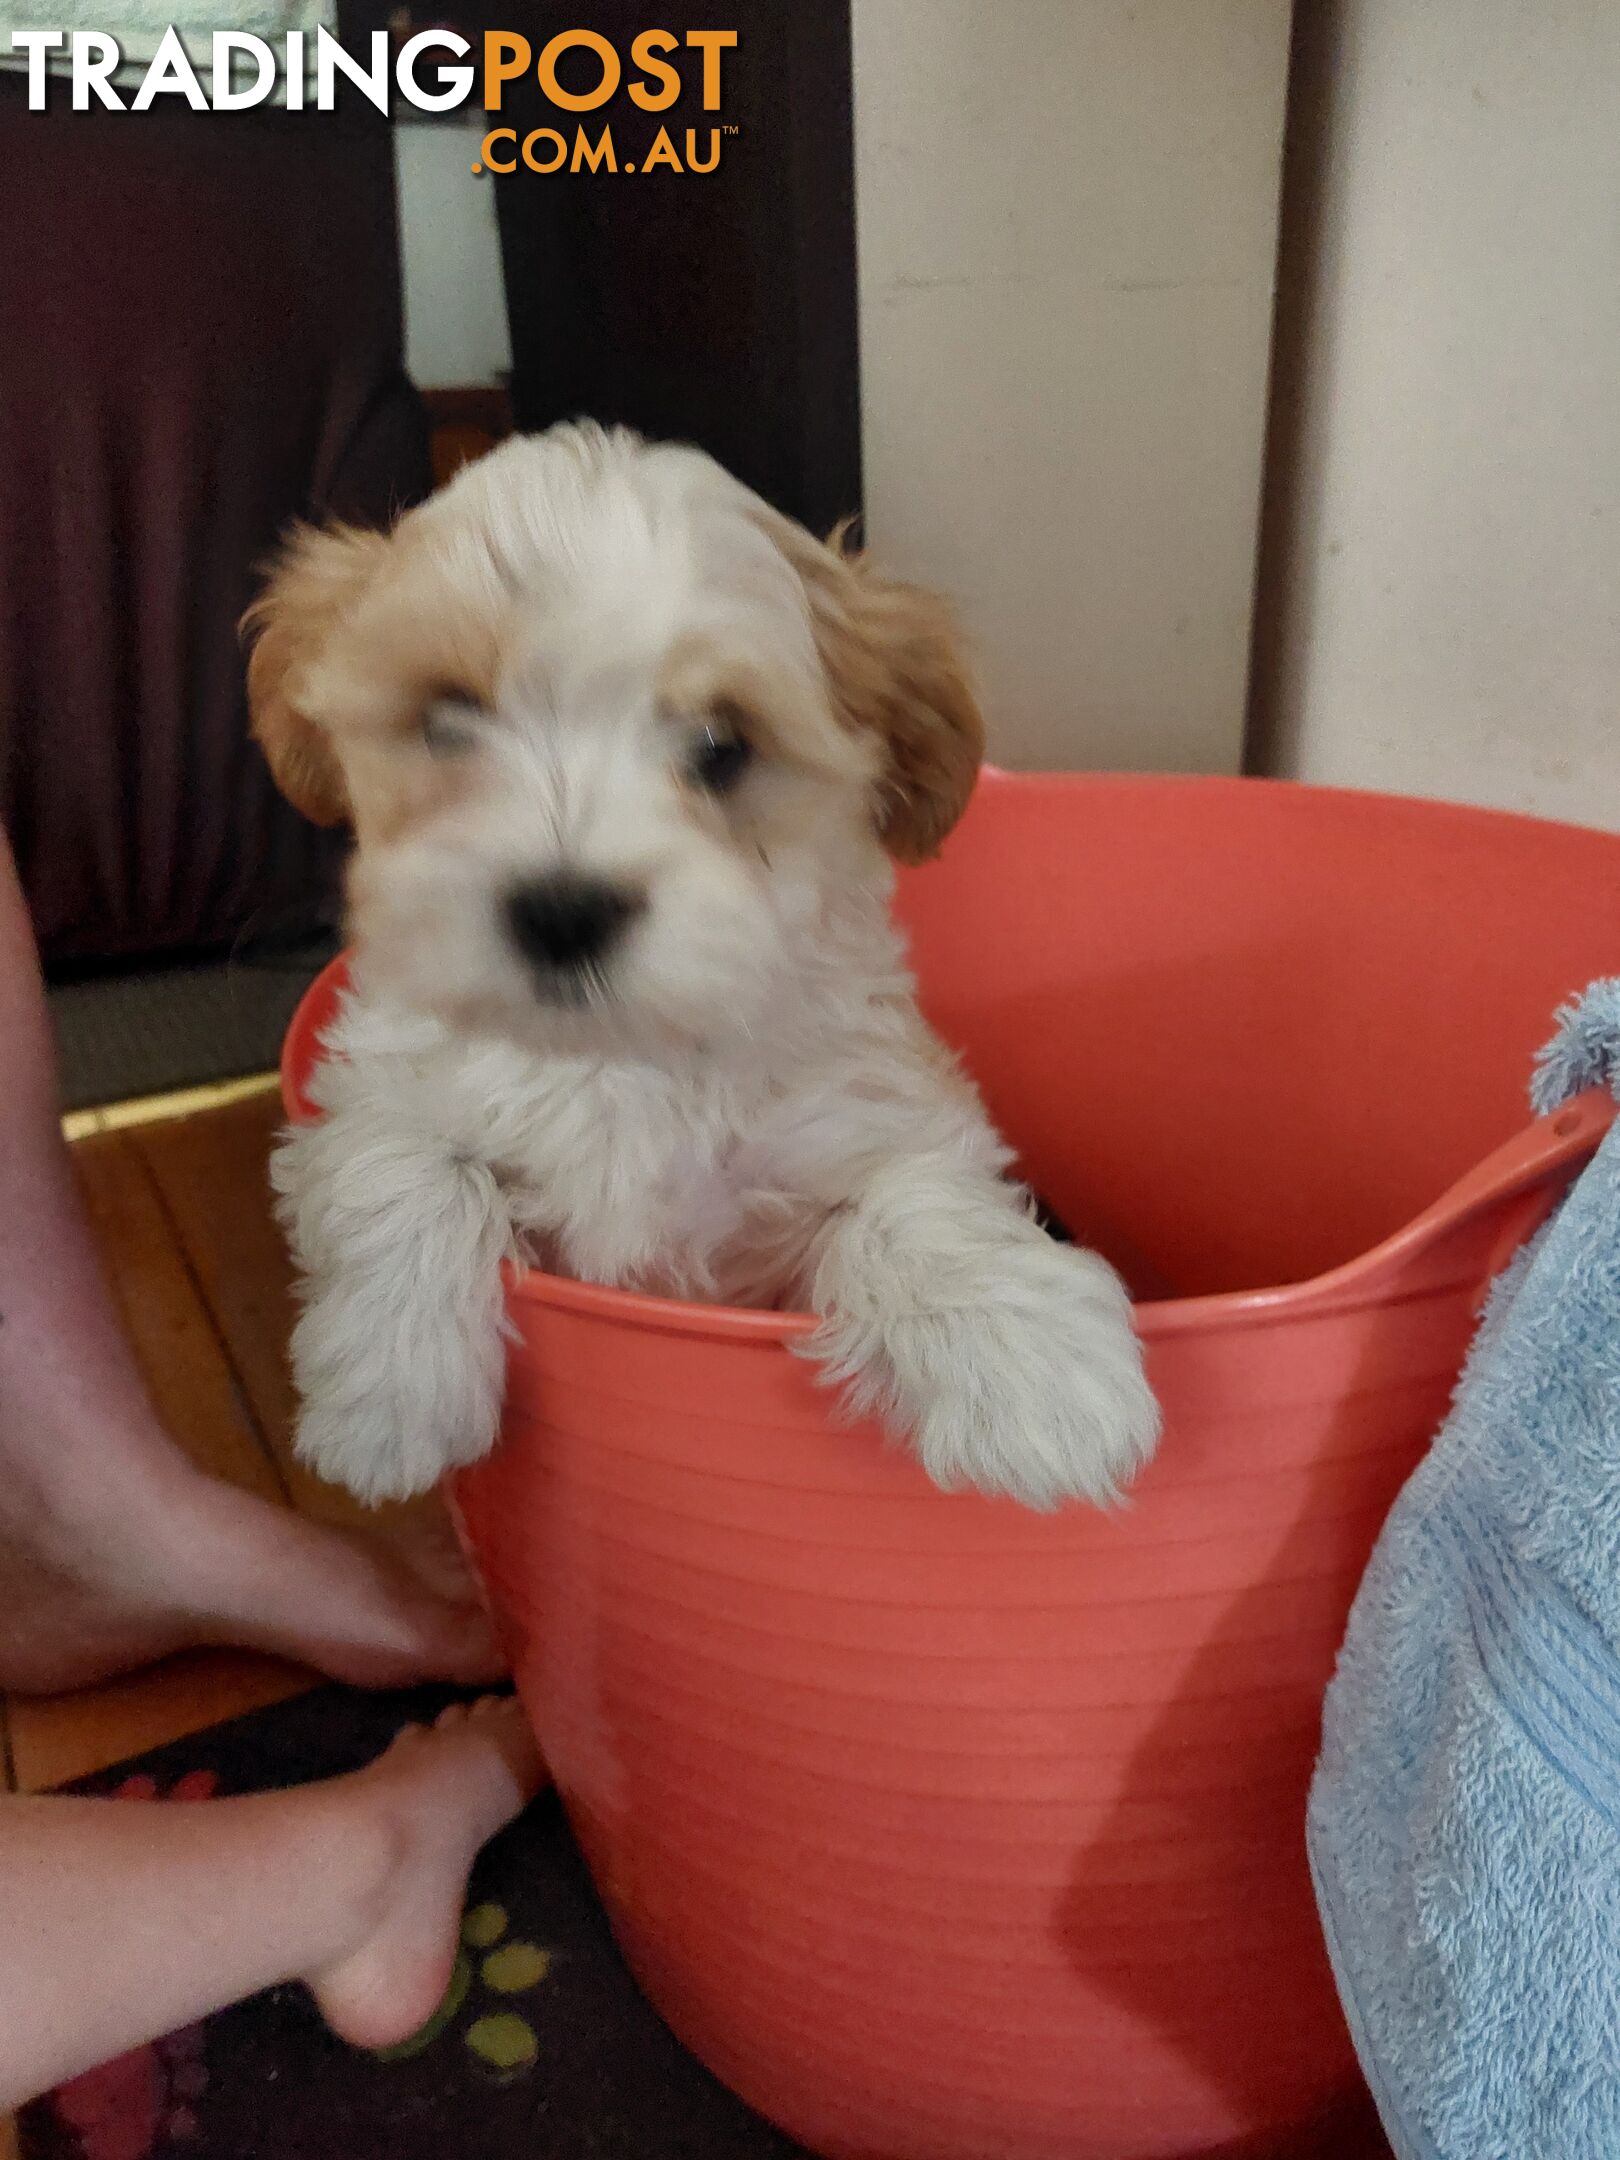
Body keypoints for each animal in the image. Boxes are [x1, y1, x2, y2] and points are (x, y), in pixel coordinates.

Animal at [247, 416, 1157, 1503]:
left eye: (723, 746)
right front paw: (392, 1390)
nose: (562, 910)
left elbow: (912, 1193)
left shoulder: (861, 1111)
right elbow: (403, 1159)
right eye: (448, 719)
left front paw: (1030, 1365)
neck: (621, 1056)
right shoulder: (369, 1079)